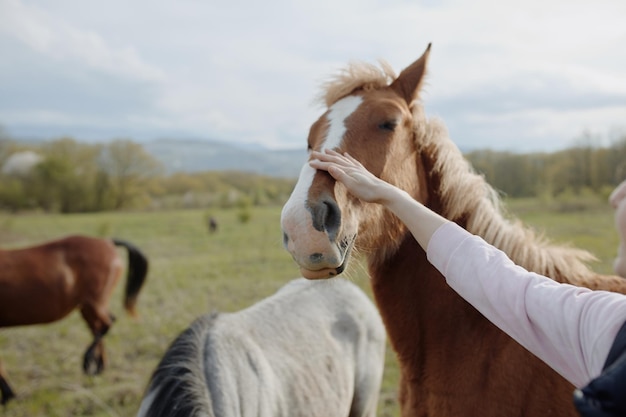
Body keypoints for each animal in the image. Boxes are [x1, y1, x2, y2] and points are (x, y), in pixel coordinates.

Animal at [0, 234, 149, 404]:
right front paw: (8, 395)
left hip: (93, 301)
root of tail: (107, 242)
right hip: (87, 306)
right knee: (98, 327)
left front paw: (8, 395)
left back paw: (87, 361)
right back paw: (98, 367)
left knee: (107, 323)